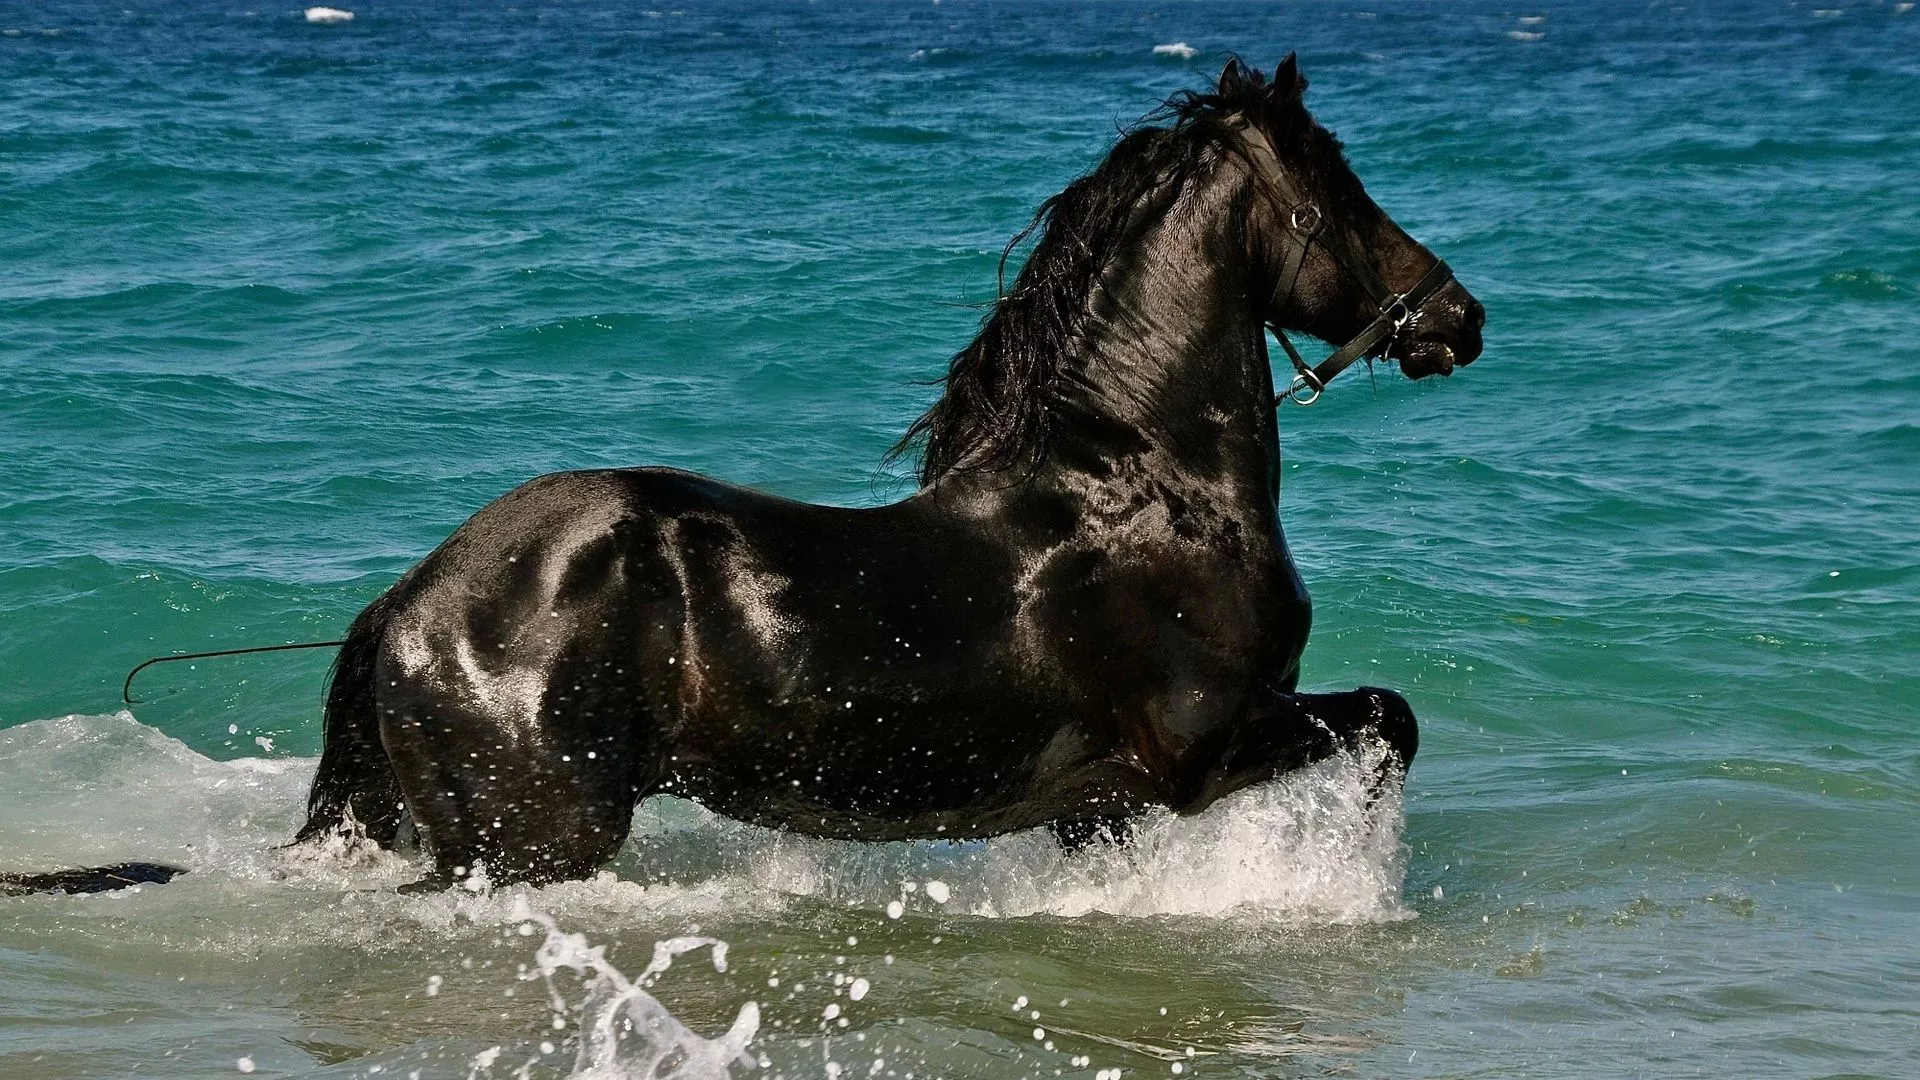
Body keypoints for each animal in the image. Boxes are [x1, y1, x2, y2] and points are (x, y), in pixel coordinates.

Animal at [7, 56, 1481, 897]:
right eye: (1339, 189)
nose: (1456, 317)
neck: (1133, 491)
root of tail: (408, 604)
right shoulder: (1207, 745)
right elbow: (1390, 723)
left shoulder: (1103, 804)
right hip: (532, 842)